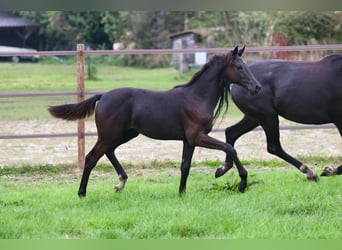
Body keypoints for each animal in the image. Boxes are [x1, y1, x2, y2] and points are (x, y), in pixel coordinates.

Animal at [48, 46, 262, 197]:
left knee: (108, 152)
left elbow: (185, 166)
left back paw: (120, 183)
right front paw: (233, 177)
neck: (196, 97)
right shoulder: (197, 136)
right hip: (109, 135)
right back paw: (82, 193)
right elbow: (229, 148)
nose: (257, 87)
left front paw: (181, 193)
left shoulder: (189, 140)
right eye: (239, 66)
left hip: (125, 134)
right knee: (91, 158)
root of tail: (103, 96)